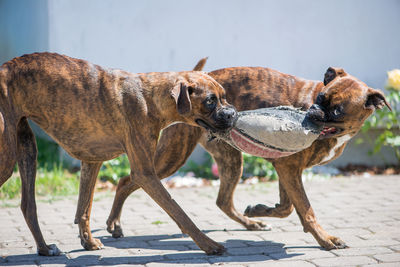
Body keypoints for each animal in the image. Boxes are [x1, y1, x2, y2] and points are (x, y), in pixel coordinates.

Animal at [0, 53, 238, 256]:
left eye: (224, 97)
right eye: (210, 101)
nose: (233, 114)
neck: (150, 97)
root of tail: (4, 67)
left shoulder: (91, 161)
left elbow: (84, 208)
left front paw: (88, 242)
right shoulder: (144, 174)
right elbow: (178, 211)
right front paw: (208, 244)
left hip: (27, 149)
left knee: (28, 205)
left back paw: (44, 249)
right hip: (7, 161)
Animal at [107, 60, 390, 251]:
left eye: (338, 110)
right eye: (320, 98)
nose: (313, 112)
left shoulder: (287, 169)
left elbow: (288, 206)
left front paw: (260, 210)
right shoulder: (289, 168)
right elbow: (304, 208)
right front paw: (325, 239)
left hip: (231, 161)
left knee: (223, 201)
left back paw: (251, 223)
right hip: (172, 158)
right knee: (127, 180)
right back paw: (114, 223)